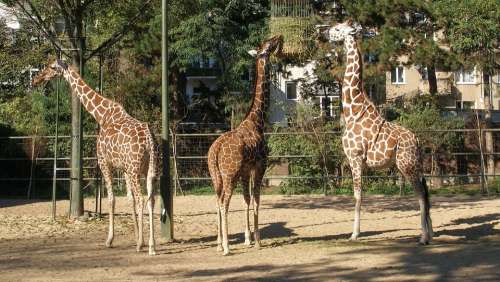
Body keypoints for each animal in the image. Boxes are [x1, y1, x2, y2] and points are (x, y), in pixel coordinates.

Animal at [32, 58, 160, 254]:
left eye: (51, 67)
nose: (36, 79)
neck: (102, 115)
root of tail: (149, 139)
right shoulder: (123, 168)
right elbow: (129, 200)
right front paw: (139, 238)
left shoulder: (104, 162)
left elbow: (112, 199)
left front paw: (110, 240)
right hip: (149, 170)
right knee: (150, 199)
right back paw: (151, 246)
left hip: (135, 169)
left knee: (141, 199)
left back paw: (143, 246)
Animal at [207, 35, 284, 256]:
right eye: (269, 44)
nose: (279, 36)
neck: (257, 121)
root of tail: (215, 150)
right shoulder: (260, 166)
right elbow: (257, 200)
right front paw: (257, 241)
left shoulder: (245, 171)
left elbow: (246, 200)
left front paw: (247, 239)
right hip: (229, 175)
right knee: (224, 203)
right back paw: (226, 247)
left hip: (216, 176)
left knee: (217, 200)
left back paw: (218, 243)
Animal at [320, 20, 434, 245]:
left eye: (338, 29)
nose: (325, 32)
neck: (353, 110)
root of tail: (417, 140)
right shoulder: (357, 161)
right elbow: (358, 195)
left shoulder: (355, 157)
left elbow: (357, 196)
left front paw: (354, 234)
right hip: (412, 165)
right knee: (425, 192)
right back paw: (429, 233)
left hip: (406, 165)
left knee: (420, 194)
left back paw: (424, 237)